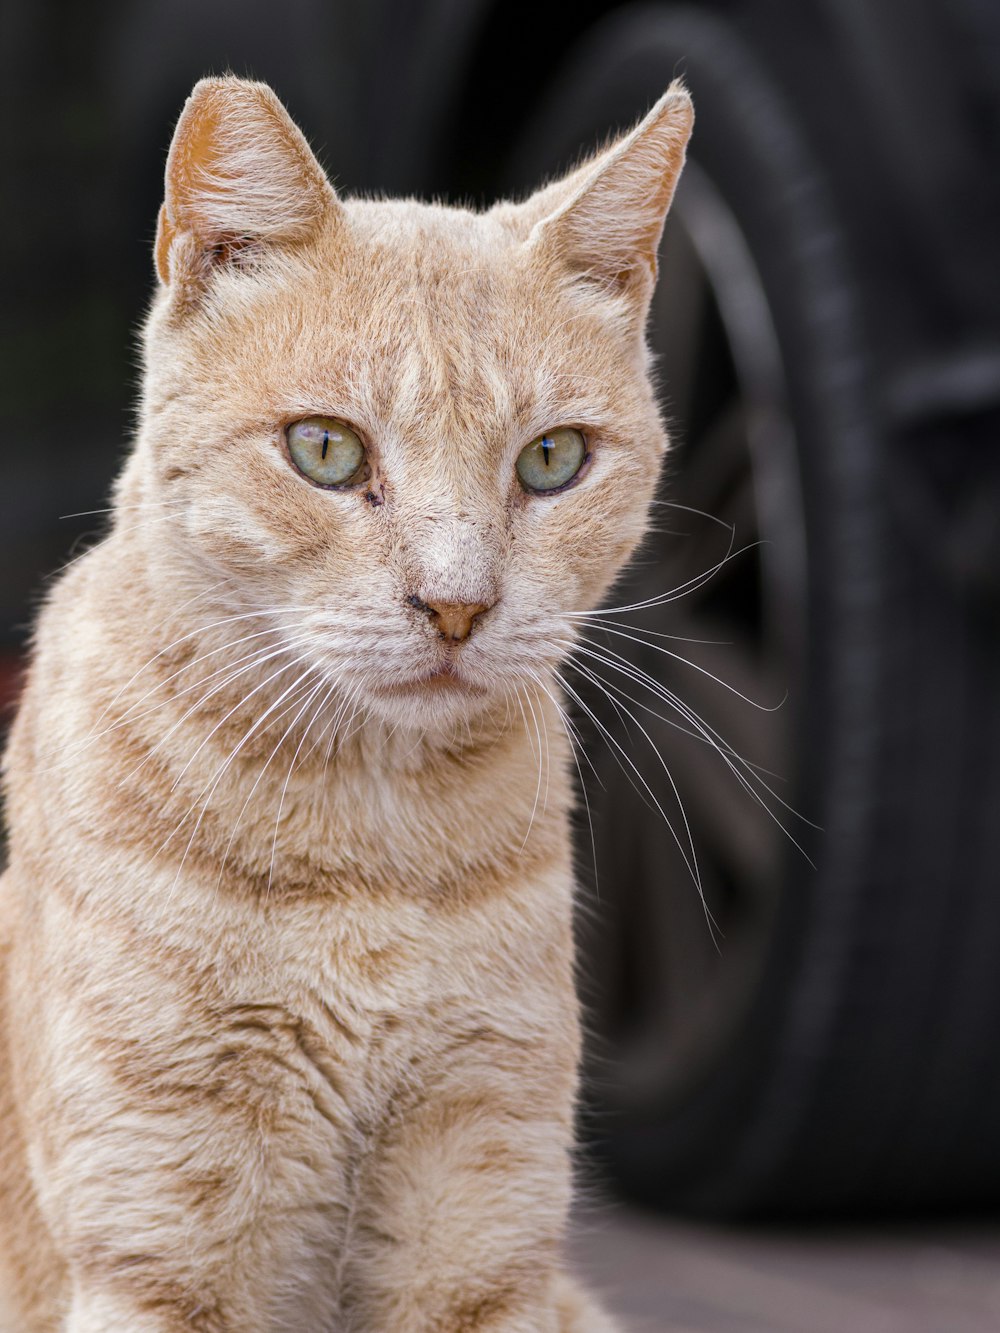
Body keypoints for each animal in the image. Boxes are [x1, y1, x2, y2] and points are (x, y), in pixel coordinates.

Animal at [0, 75, 688, 1333]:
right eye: (324, 450)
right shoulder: (160, 1229)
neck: (369, 832)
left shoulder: (480, 1212)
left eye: (552, 460)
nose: (457, 604)